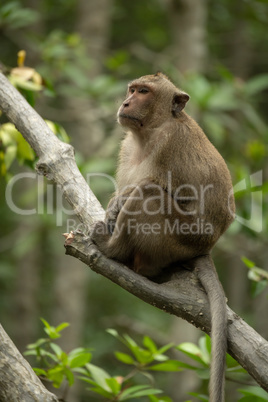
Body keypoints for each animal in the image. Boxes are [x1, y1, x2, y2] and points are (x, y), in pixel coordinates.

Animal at [91, 73, 236, 402]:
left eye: (144, 92)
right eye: (132, 89)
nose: (126, 103)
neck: (150, 131)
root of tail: (206, 248)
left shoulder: (170, 143)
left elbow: (151, 188)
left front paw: (120, 202)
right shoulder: (126, 148)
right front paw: (113, 203)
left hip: (180, 237)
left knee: (149, 194)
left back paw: (114, 250)